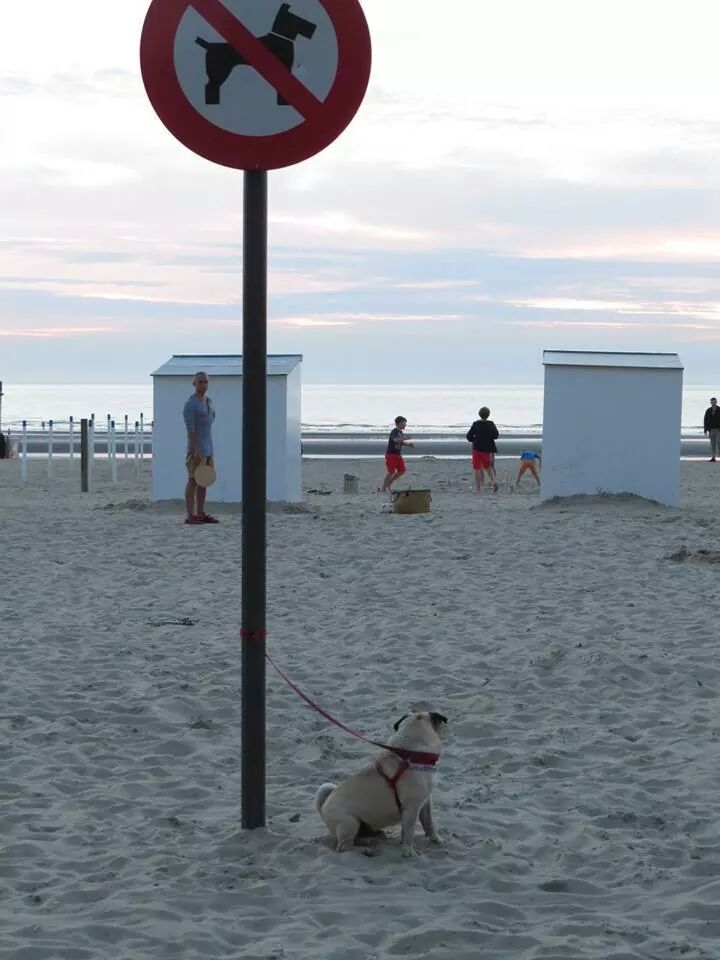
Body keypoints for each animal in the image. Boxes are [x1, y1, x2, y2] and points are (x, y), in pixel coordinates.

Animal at [315, 711, 448, 857]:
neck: (412, 754)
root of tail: (323, 809)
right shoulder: (411, 808)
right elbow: (409, 832)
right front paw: (408, 851)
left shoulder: (425, 802)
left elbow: (429, 823)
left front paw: (435, 838)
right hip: (350, 823)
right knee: (345, 847)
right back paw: (366, 849)